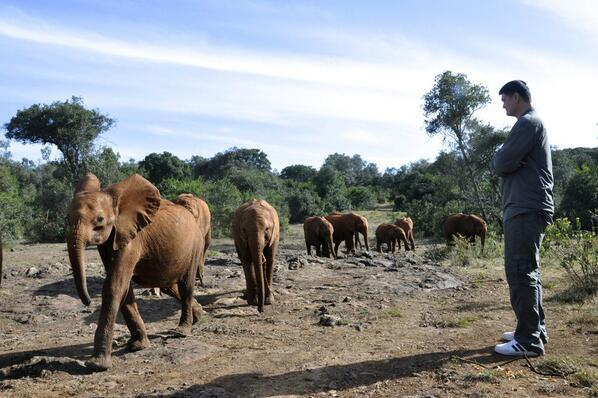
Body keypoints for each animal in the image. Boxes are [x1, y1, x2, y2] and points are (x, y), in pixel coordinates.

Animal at [67, 173, 205, 372]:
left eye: (99, 220)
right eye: (66, 219)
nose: (87, 301)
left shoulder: (132, 238)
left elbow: (114, 285)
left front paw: (97, 365)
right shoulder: (112, 240)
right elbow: (124, 287)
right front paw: (138, 346)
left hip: (195, 246)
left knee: (185, 285)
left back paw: (182, 331)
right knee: (169, 285)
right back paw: (199, 315)